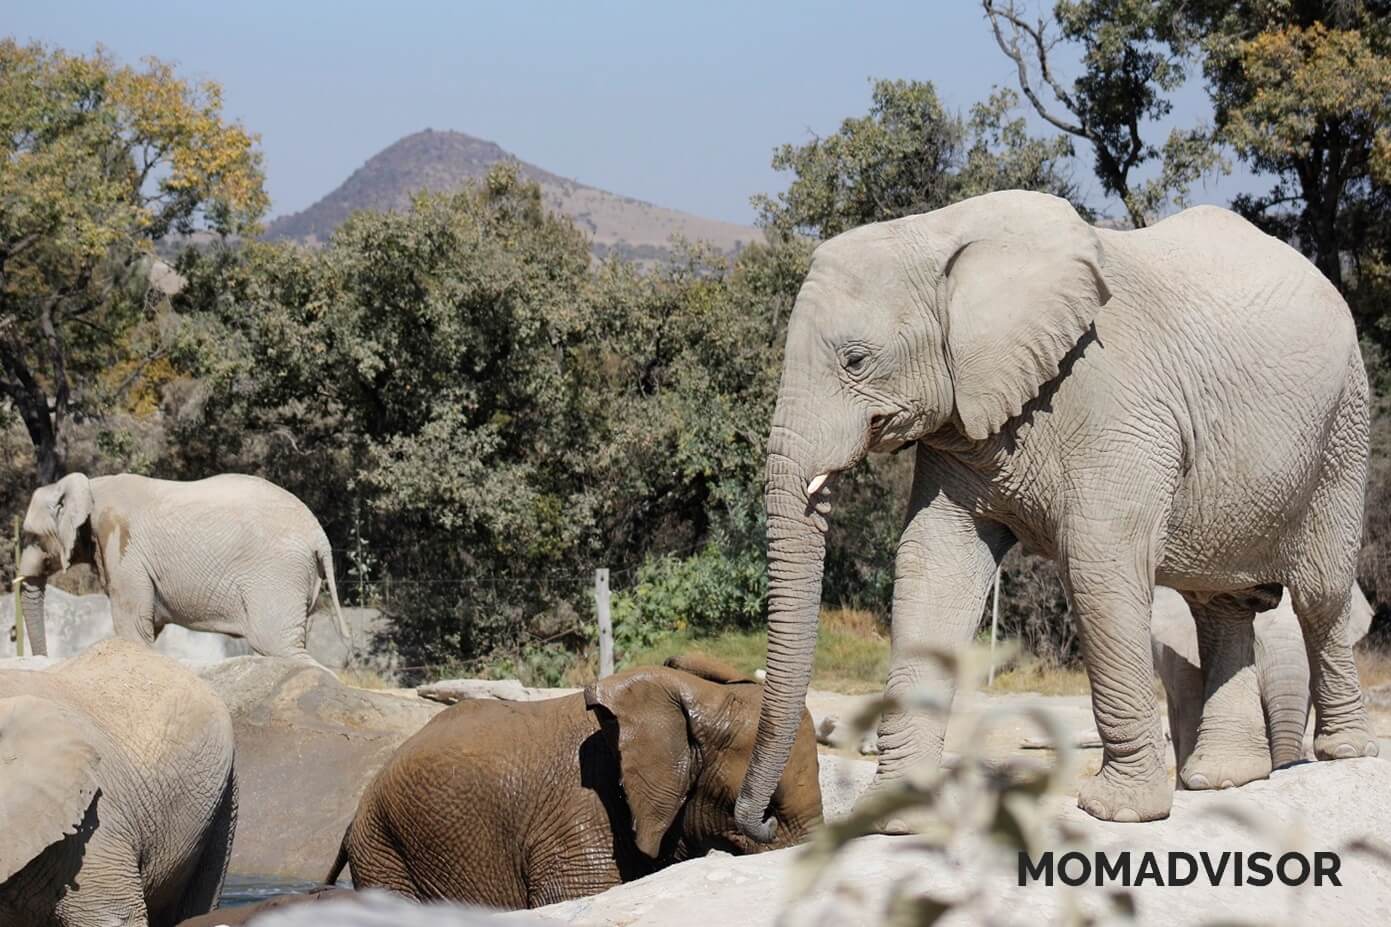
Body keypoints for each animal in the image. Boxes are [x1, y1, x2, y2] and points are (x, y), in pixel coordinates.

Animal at [16, 472, 347, 659]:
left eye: (30, 536)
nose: (42, 661)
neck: (90, 486)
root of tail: (319, 535)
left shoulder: (123, 548)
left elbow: (132, 629)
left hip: (278, 573)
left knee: (276, 645)